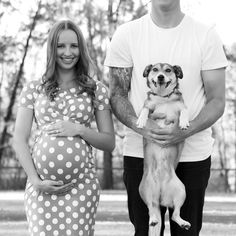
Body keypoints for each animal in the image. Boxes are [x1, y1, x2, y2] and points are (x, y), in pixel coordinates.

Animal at [136, 63, 192, 236]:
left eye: (168, 70)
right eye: (155, 69)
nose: (160, 76)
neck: (163, 98)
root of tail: (161, 196)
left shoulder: (181, 107)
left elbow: (184, 111)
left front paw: (184, 122)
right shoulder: (148, 107)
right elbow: (145, 110)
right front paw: (141, 120)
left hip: (181, 191)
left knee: (174, 214)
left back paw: (183, 223)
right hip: (146, 191)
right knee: (151, 209)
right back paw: (154, 219)